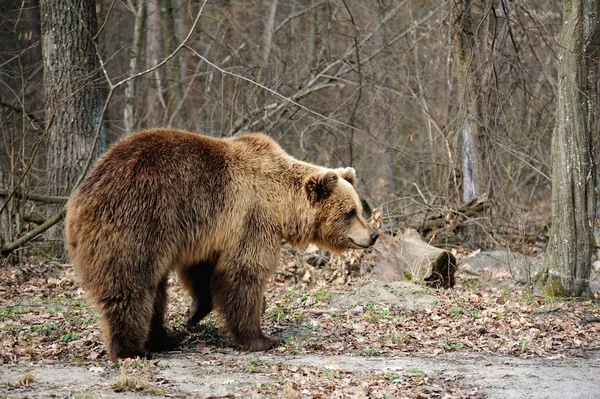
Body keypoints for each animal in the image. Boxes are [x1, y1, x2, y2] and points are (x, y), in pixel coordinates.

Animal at [64, 130, 376, 360]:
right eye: (350, 212)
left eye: (358, 209)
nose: (372, 235)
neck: (281, 204)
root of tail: (79, 198)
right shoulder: (252, 219)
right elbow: (243, 273)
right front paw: (261, 338)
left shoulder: (208, 234)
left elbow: (202, 273)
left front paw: (193, 313)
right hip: (138, 224)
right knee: (131, 287)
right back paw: (131, 350)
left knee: (156, 290)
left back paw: (166, 337)